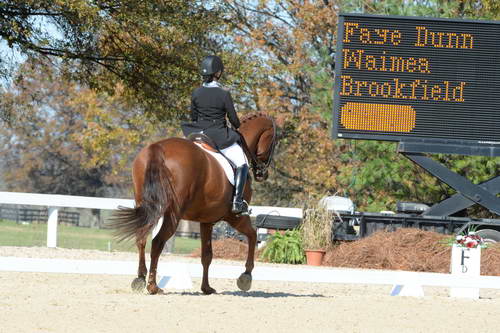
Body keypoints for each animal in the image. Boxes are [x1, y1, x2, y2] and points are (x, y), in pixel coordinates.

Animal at [111, 112, 278, 294]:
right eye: (274, 141)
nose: (263, 174)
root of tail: (158, 149)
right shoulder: (235, 217)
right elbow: (253, 235)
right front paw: (245, 277)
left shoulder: (207, 220)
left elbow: (207, 255)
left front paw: (206, 288)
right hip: (173, 214)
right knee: (157, 242)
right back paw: (153, 286)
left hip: (147, 206)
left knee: (141, 238)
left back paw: (140, 279)